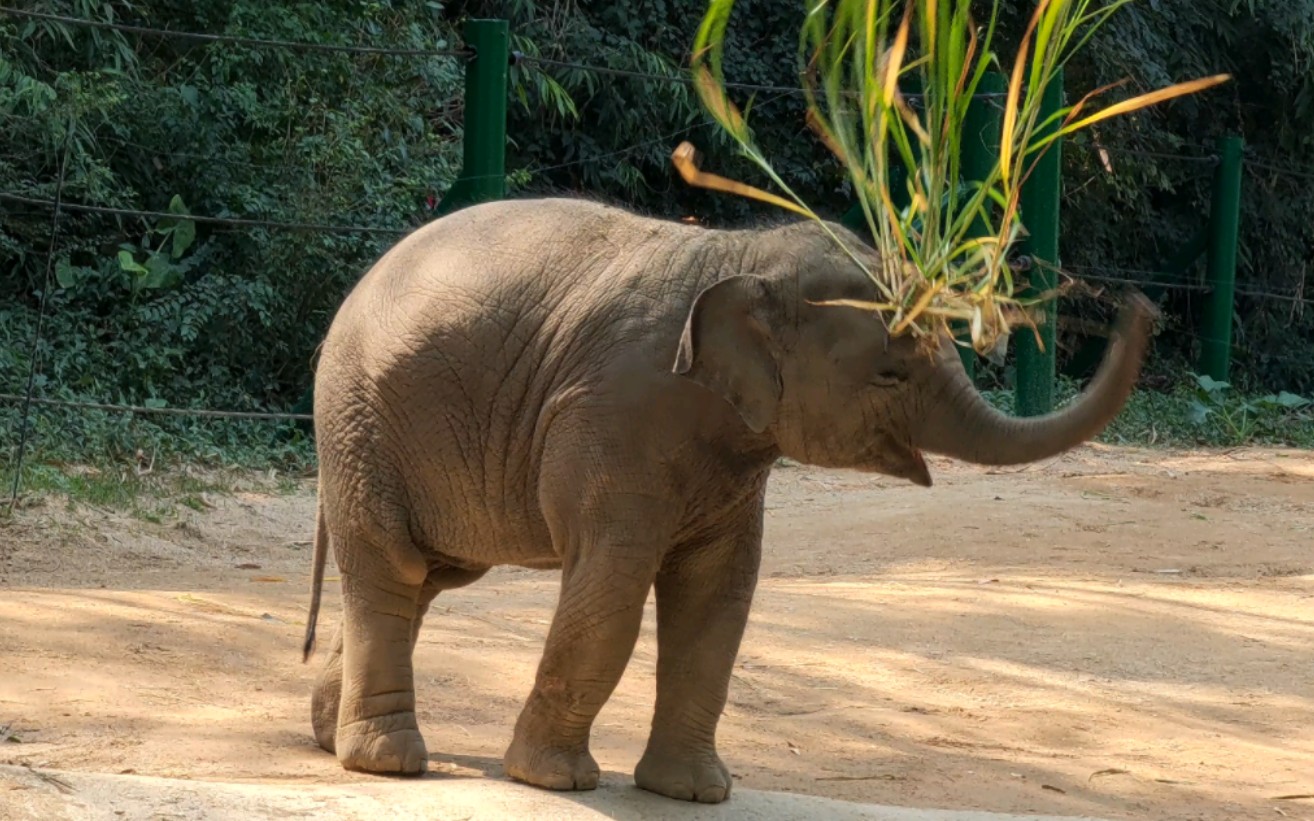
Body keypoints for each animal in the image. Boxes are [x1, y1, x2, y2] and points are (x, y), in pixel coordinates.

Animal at [301, 195, 1155, 804]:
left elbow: (719, 598)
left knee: (427, 577)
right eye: (890, 373)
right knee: (393, 568)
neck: (747, 255)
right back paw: (388, 763)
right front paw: (556, 781)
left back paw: (329, 735)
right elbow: (611, 593)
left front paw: (695, 793)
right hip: (358, 420)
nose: (1139, 305)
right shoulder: (615, 416)